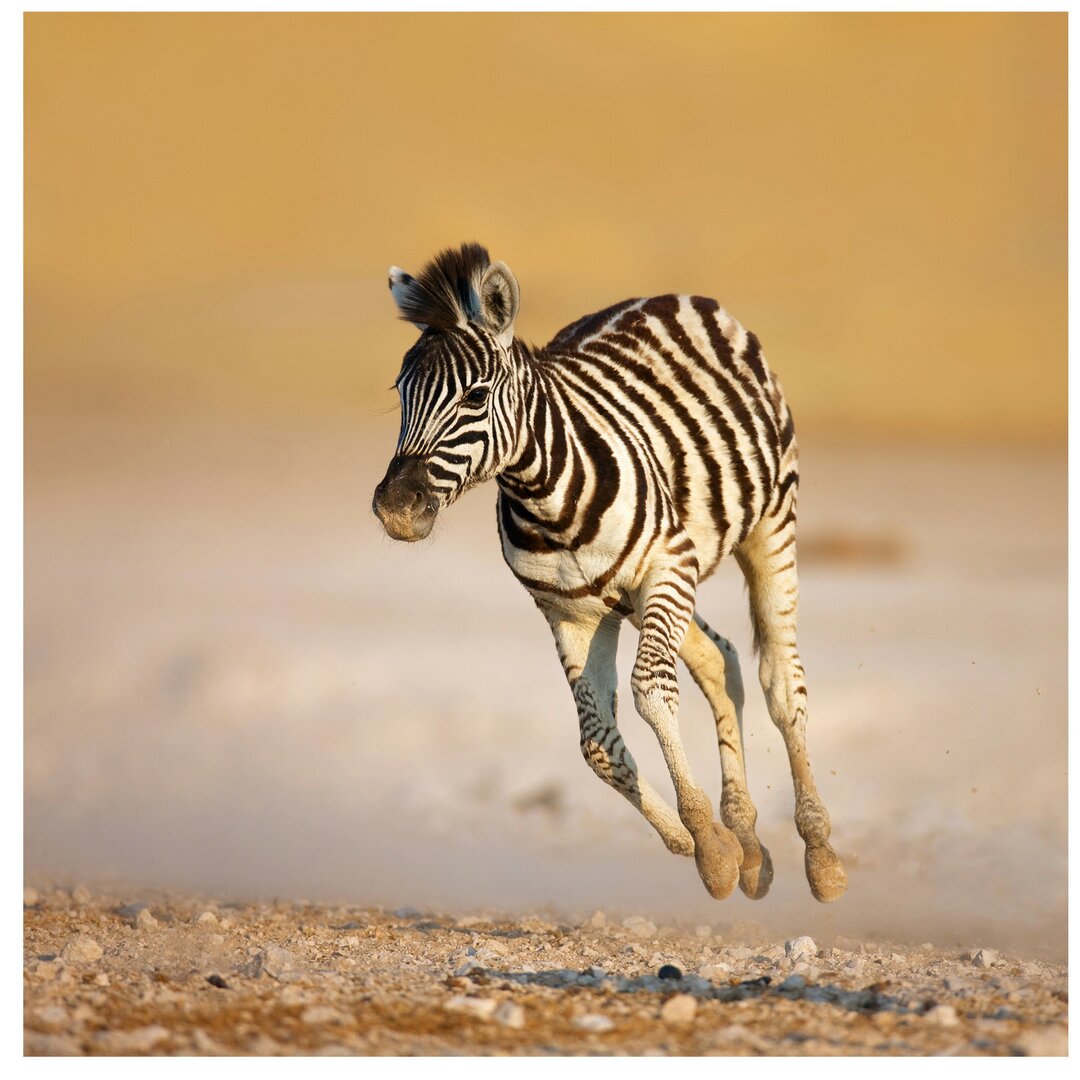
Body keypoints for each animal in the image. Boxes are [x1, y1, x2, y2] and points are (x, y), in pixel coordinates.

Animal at [375, 245, 846, 902]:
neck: (546, 501)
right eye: (401, 393)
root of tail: (669, 296)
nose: (396, 508)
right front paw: (702, 841)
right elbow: (595, 744)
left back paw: (820, 853)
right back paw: (749, 842)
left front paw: (709, 845)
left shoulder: (666, 565)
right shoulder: (569, 613)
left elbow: (651, 691)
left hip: (764, 528)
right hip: (646, 593)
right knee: (719, 659)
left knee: (781, 681)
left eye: (475, 397)